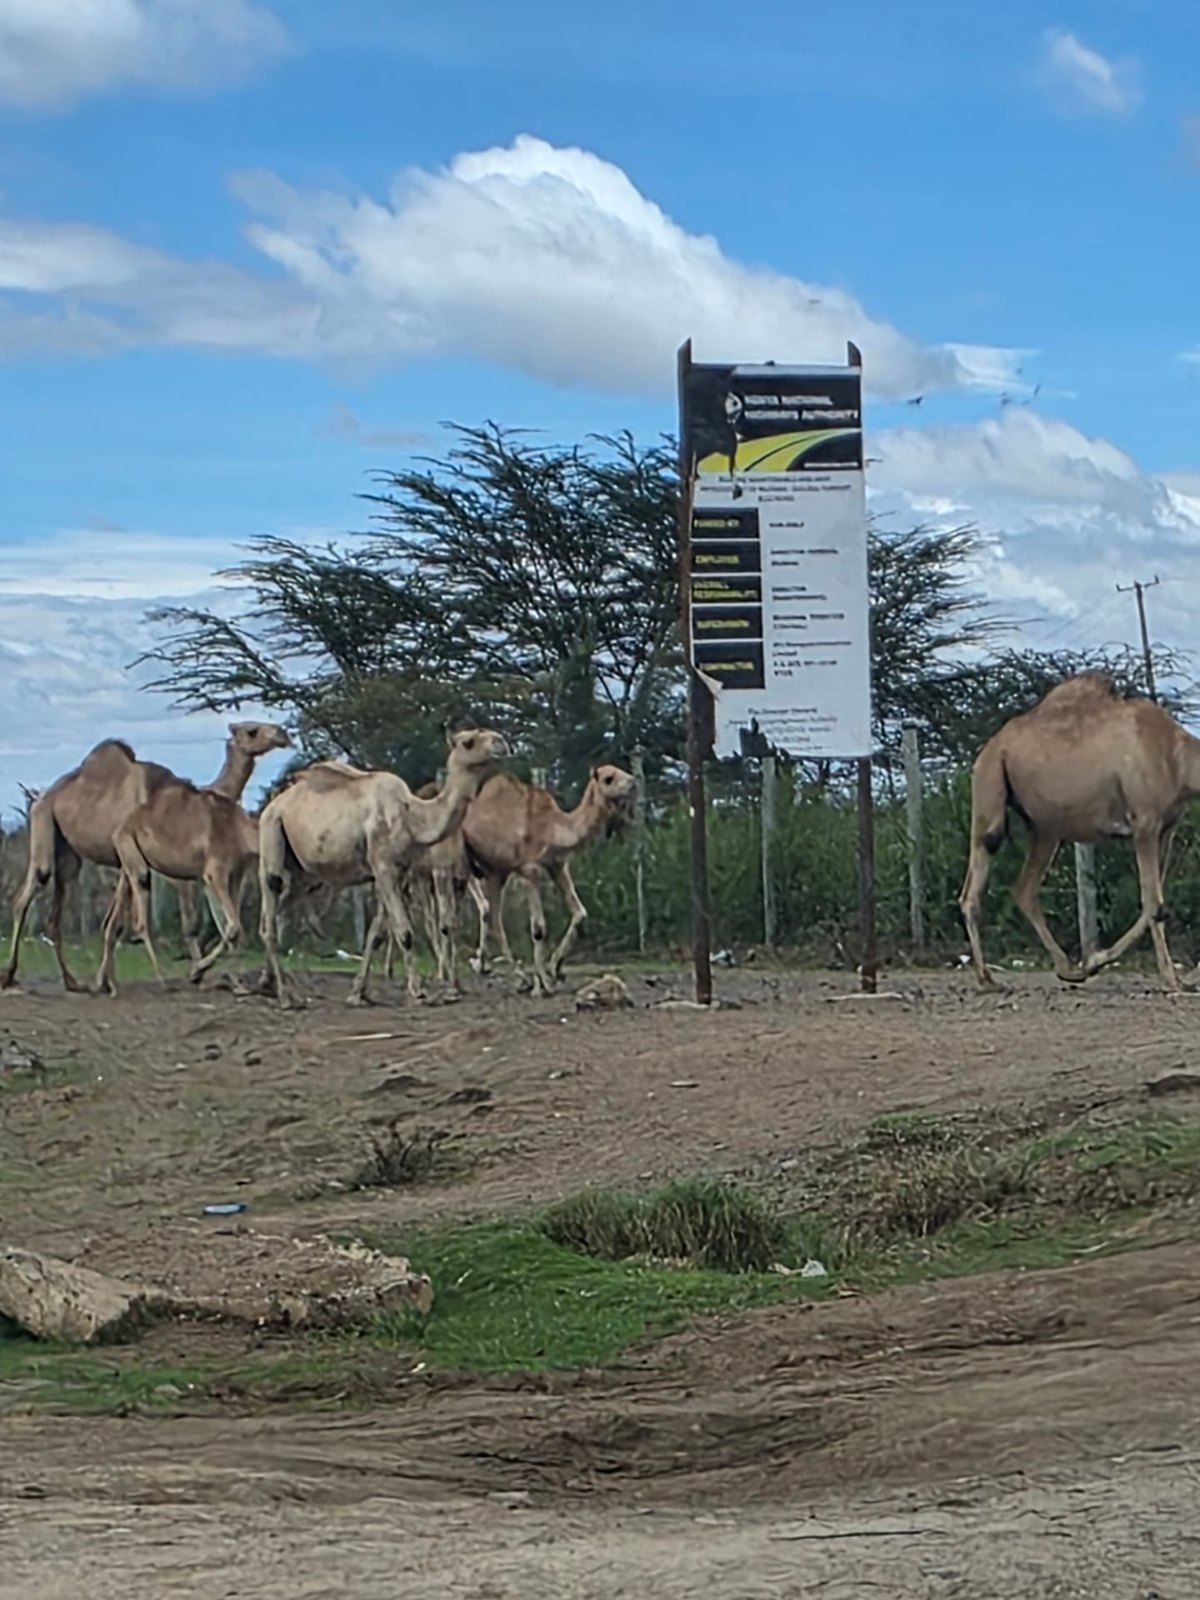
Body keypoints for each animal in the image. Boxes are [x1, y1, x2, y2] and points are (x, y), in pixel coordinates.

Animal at [1, 721, 289, 993]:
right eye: (251, 730)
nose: (282, 734)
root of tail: (42, 796)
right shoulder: (143, 860)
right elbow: (147, 924)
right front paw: (108, 983)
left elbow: (116, 923)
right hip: (42, 822)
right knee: (29, 891)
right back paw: (10, 976)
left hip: (68, 854)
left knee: (55, 910)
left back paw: (72, 981)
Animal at [257, 727, 510, 1009]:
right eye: (469, 741)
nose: (501, 742)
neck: (412, 816)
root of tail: (273, 804)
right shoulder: (383, 865)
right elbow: (404, 930)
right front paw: (418, 991)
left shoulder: (397, 871)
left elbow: (376, 934)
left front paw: (358, 993)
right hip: (271, 836)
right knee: (270, 908)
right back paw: (285, 996)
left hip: (304, 873)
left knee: (275, 916)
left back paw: (269, 984)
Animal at [960, 672, 1200, 992]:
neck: (1178, 759)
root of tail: (992, 745)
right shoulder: (1144, 824)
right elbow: (1154, 904)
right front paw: (1170, 978)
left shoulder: (1166, 830)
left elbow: (1154, 903)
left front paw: (1094, 961)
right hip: (990, 790)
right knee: (977, 881)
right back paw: (987, 978)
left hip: (1045, 830)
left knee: (1024, 889)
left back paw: (1066, 969)